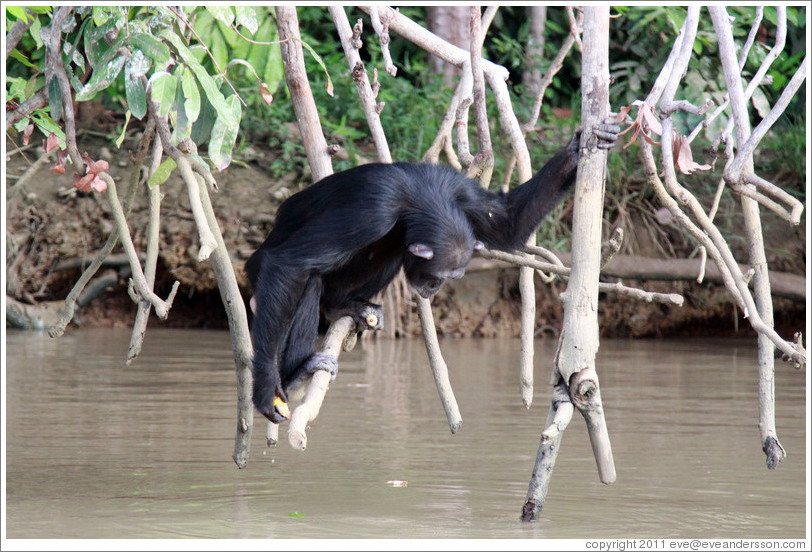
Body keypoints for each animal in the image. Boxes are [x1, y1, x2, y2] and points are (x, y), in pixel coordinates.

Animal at [244, 123, 620, 420]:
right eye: (439, 276)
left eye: (451, 279)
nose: (433, 289)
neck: (419, 198)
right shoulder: (372, 210)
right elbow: (290, 262)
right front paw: (265, 389)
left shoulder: (460, 190)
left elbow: (507, 221)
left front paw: (577, 147)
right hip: (259, 274)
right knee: (305, 280)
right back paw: (296, 374)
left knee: (392, 246)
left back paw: (344, 306)